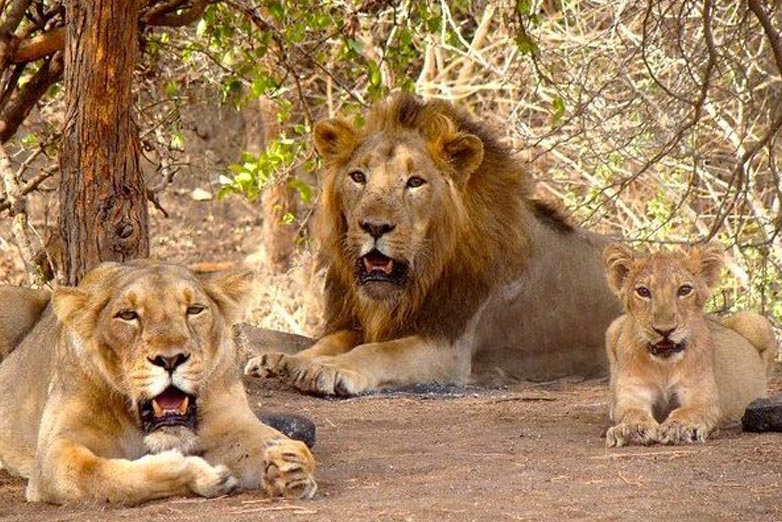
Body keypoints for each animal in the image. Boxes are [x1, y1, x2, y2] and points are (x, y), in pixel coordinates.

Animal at [0, 260, 316, 505]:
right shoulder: (53, 453)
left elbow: (273, 441)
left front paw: (291, 464)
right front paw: (198, 474)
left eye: (194, 310)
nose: (171, 359)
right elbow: (105, 477)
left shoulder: (232, 422)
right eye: (128, 315)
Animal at [246, 94, 622, 396]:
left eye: (415, 182)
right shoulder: (361, 322)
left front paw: (327, 368)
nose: (374, 226)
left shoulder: (449, 347)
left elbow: (380, 352)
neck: (419, 278)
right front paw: (281, 359)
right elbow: (329, 340)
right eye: (358, 177)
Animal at [602, 243, 777, 447]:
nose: (665, 330)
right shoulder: (632, 395)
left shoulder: (702, 397)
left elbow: (688, 411)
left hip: (756, 321)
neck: (664, 366)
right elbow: (631, 412)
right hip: (613, 327)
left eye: (684, 290)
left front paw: (680, 427)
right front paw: (631, 429)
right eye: (643, 292)